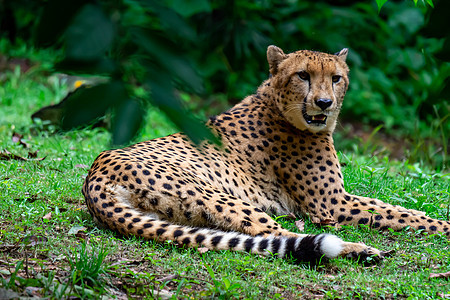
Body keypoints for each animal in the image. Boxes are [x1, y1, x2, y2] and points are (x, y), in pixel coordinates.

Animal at [82, 45, 448, 264]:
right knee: (277, 235)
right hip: (221, 196)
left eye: (336, 78)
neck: (278, 105)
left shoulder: (337, 199)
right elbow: (399, 215)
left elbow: (397, 209)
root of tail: (94, 175)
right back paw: (357, 249)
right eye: (303, 75)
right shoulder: (332, 205)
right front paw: (442, 225)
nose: (324, 104)